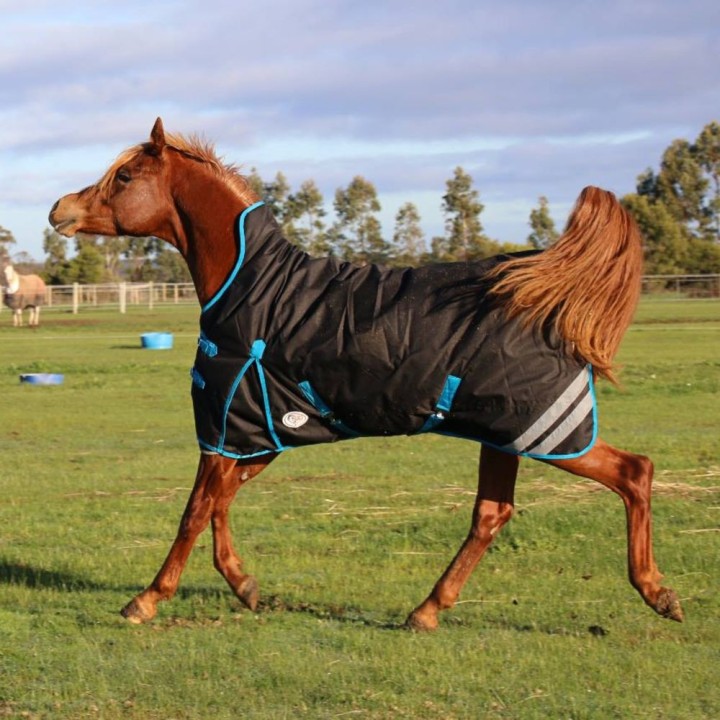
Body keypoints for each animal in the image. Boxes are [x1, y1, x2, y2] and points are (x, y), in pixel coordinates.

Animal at [49, 118, 683, 629]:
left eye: (125, 176)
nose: (59, 210)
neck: (258, 290)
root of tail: (549, 296)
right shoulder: (258, 431)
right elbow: (219, 503)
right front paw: (244, 584)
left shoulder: (230, 424)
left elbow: (194, 511)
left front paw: (147, 599)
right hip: (502, 434)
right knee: (492, 514)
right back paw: (427, 610)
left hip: (544, 434)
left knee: (633, 473)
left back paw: (656, 592)